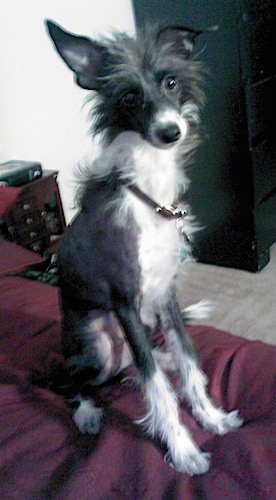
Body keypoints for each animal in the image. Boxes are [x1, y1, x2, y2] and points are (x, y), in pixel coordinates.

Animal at [46, 21, 243, 474]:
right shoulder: (124, 302)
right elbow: (158, 391)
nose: (171, 132)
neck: (150, 197)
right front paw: (184, 451)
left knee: (141, 364)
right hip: (100, 346)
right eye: (129, 98)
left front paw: (211, 417)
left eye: (170, 82)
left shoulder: (165, 294)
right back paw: (86, 411)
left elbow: (188, 362)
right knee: (67, 380)